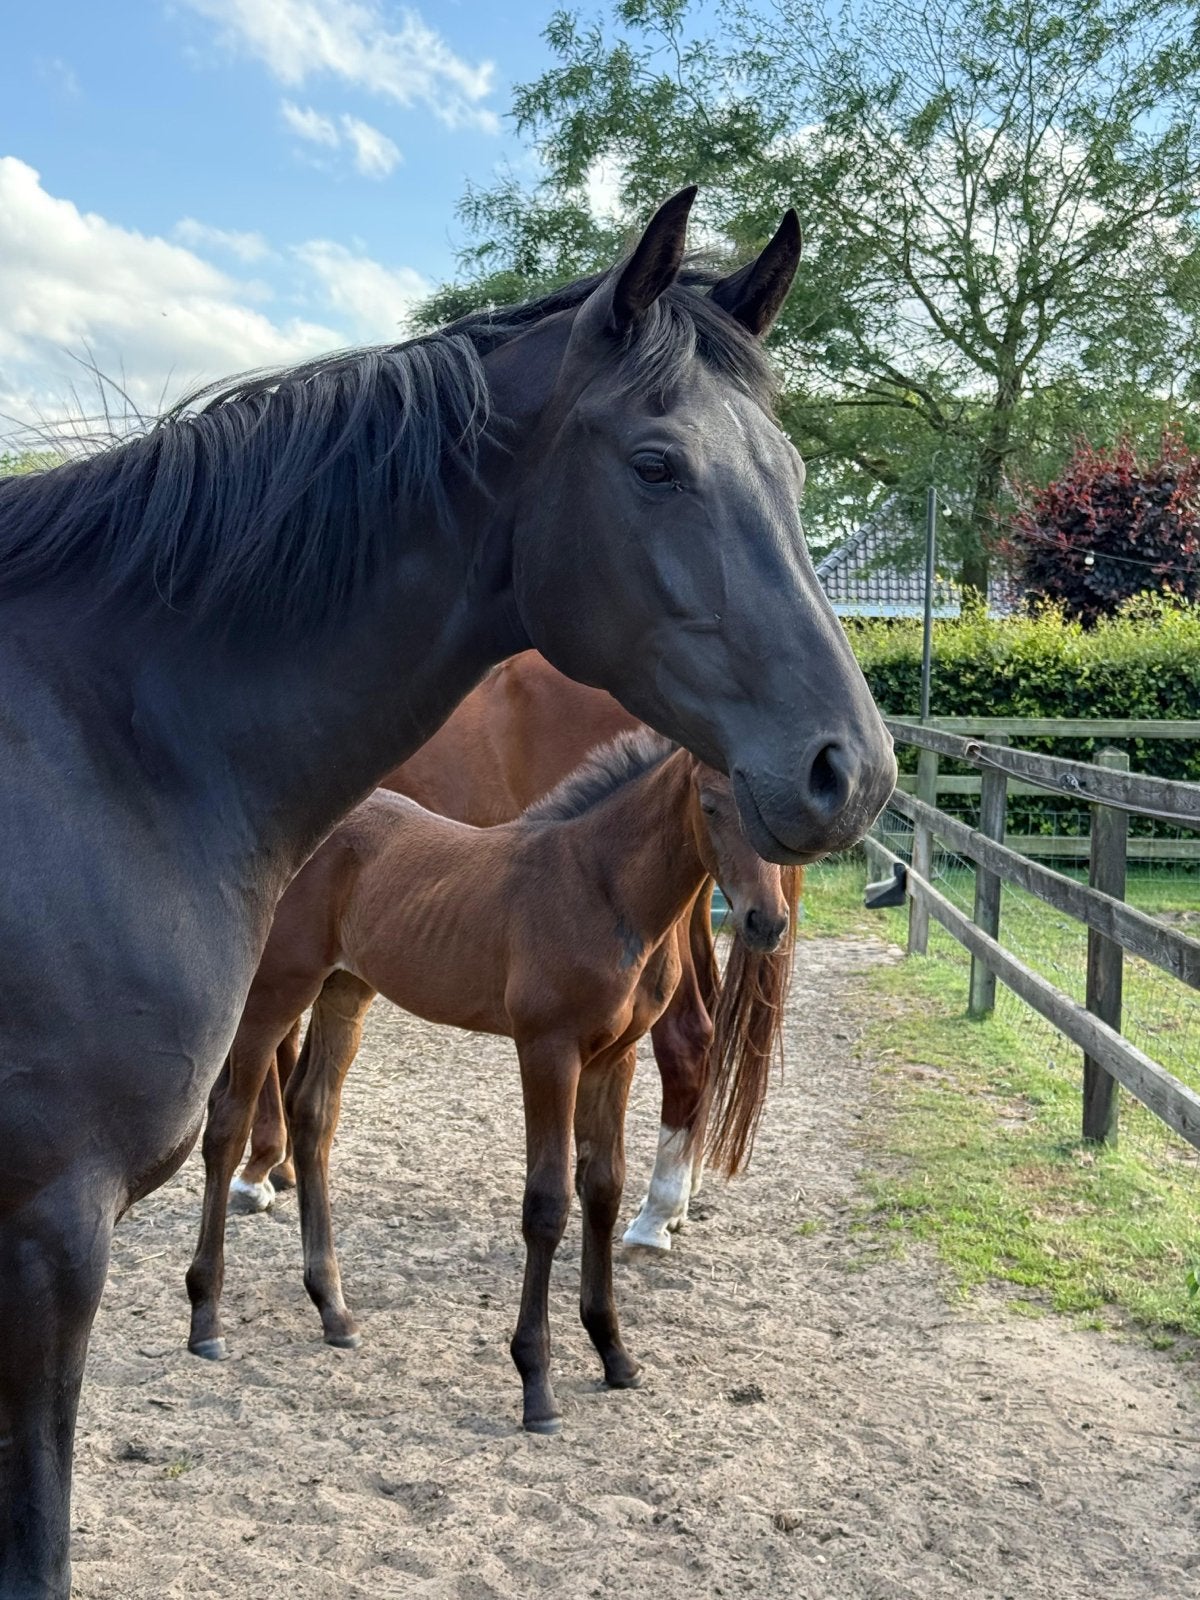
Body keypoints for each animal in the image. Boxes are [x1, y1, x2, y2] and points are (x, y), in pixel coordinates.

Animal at [187, 733, 797, 1433]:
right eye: (713, 805)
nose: (765, 923)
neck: (602, 888)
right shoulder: (548, 1051)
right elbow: (548, 1203)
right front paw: (537, 1385)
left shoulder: (614, 1059)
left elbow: (604, 1189)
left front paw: (615, 1354)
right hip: (275, 989)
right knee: (227, 1121)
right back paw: (206, 1316)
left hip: (345, 989)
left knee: (313, 1113)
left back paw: (333, 1309)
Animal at [231, 650, 802, 1249]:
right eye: (711, 807)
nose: (767, 920)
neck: (594, 875)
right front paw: (273, 1166)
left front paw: (261, 1171)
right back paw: (674, 1203)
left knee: (688, 1037)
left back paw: (656, 1214)